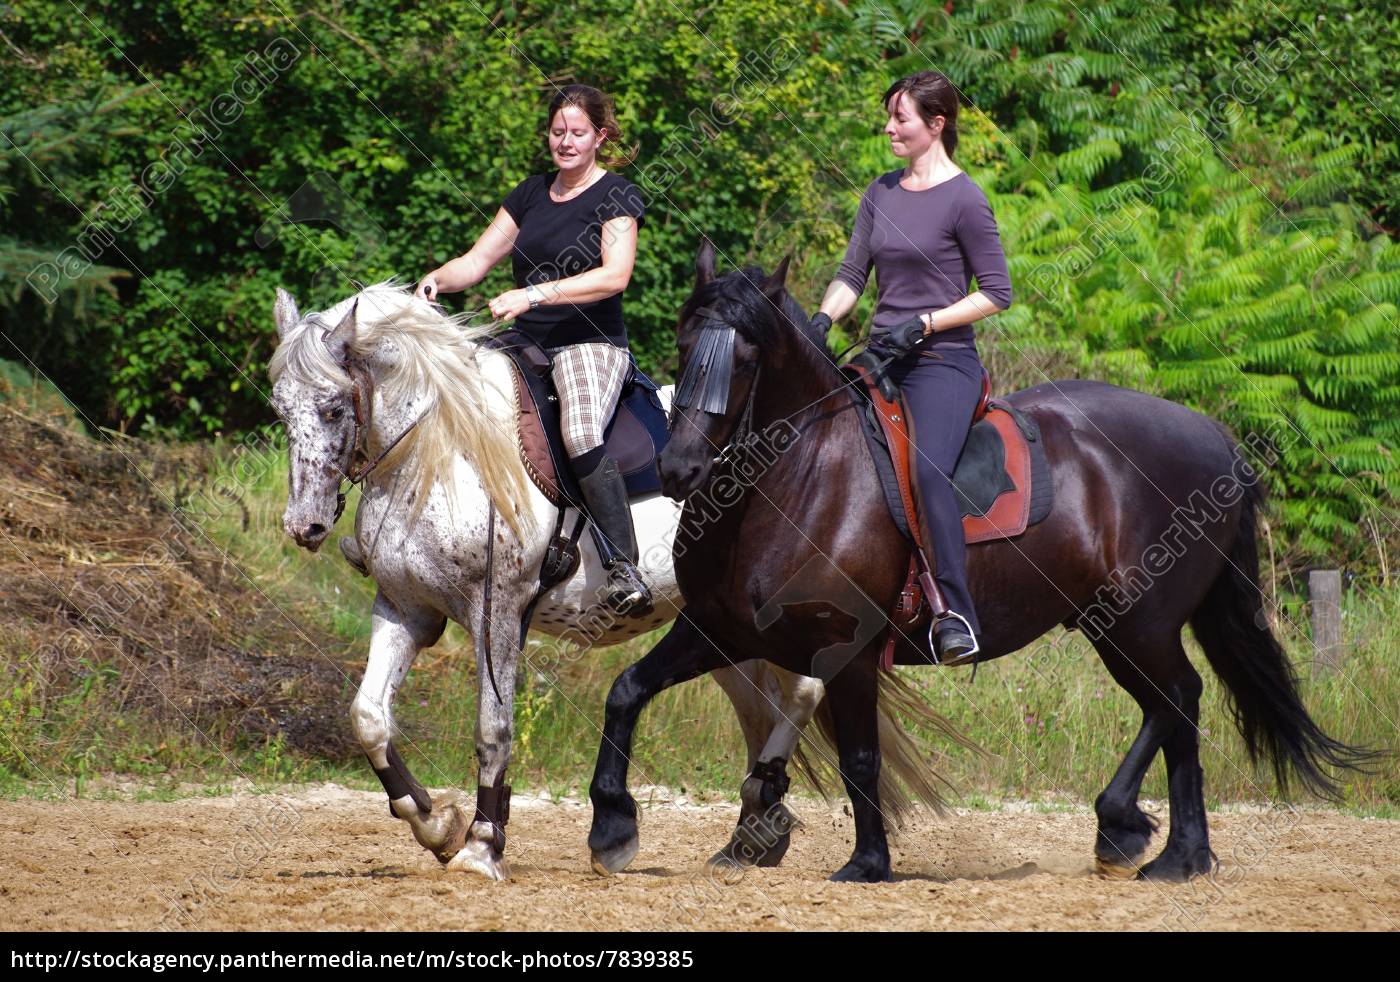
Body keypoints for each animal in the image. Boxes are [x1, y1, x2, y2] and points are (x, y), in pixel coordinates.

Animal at [585, 243, 1372, 879]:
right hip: (1113, 623)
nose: (681, 468)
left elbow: (861, 756)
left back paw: (1158, 844)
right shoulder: (718, 628)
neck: (797, 481)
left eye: (746, 357)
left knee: (1177, 700)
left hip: (1137, 621)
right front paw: (612, 827)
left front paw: (867, 864)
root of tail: (1213, 436)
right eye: (685, 344)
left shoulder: (849, 646)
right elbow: (626, 692)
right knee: (1170, 706)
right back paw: (1160, 846)